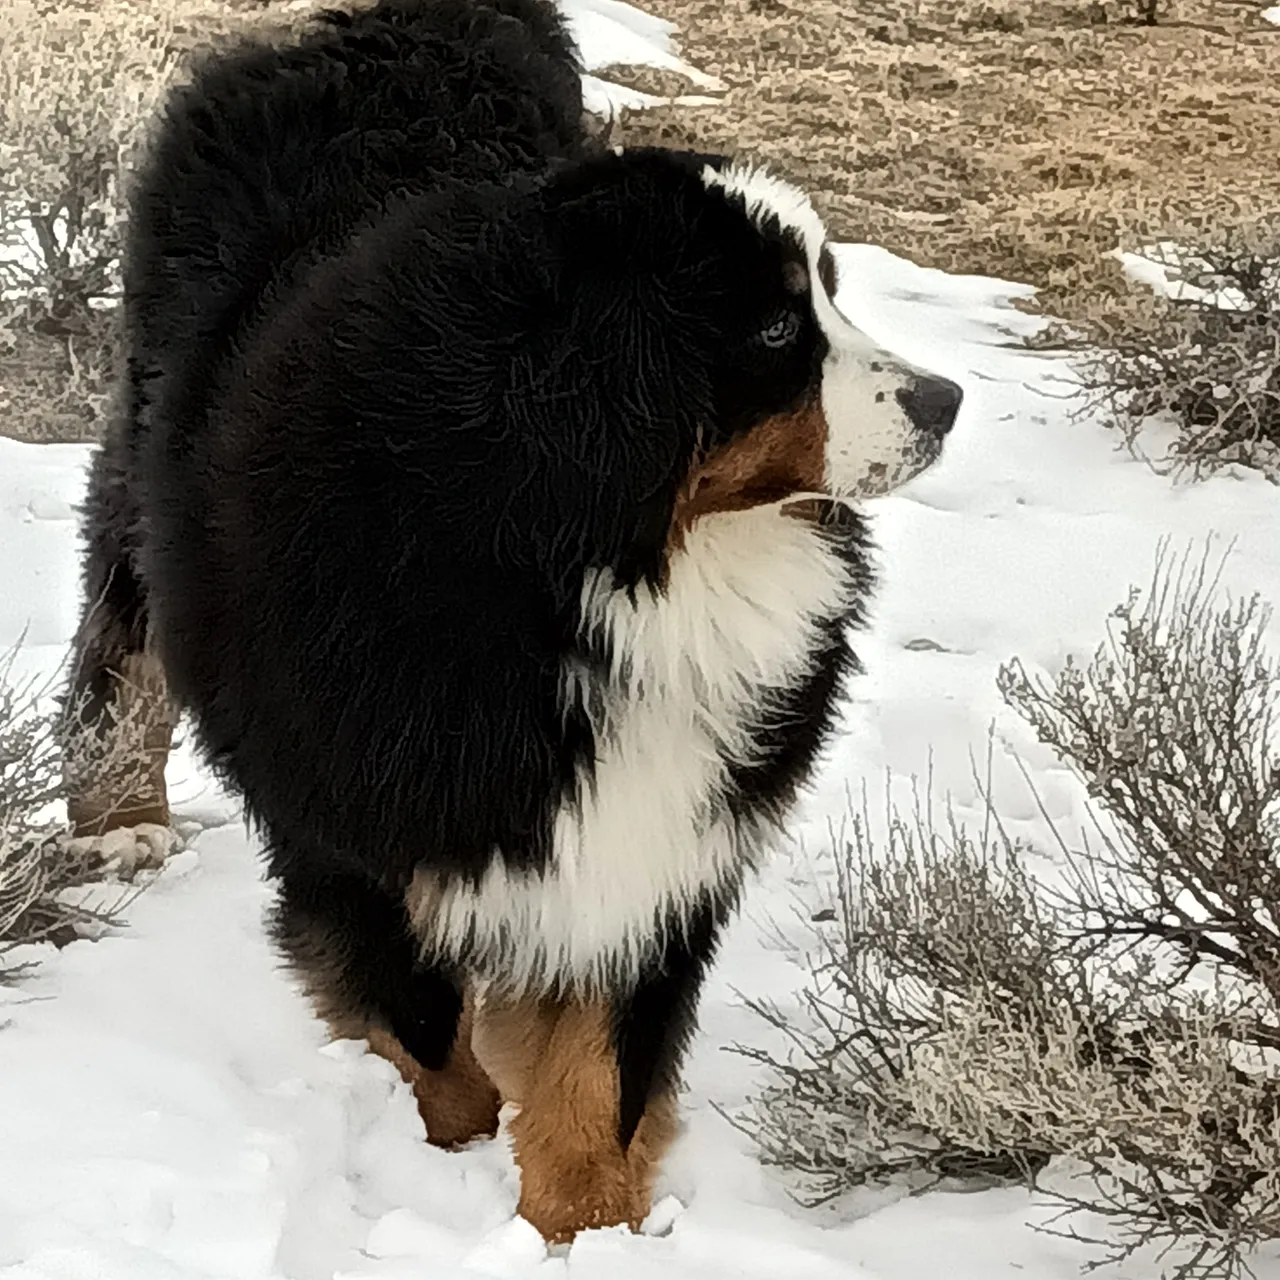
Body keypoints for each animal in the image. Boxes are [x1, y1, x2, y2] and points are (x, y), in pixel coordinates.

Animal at [64, 0, 957, 1244]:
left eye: (827, 289)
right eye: (777, 331)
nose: (945, 399)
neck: (602, 564)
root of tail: (393, 29)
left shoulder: (652, 838)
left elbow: (595, 1069)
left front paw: (584, 1226)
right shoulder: (356, 821)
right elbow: (433, 1048)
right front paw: (457, 1166)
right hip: (147, 446)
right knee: (122, 626)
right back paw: (118, 815)